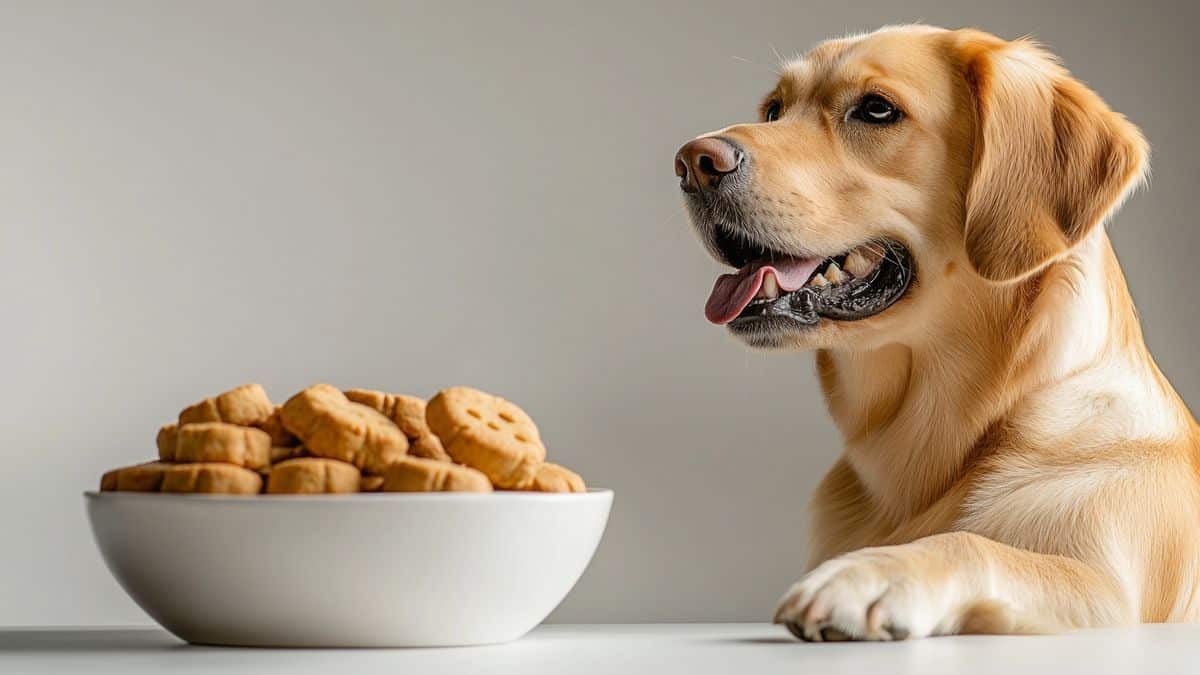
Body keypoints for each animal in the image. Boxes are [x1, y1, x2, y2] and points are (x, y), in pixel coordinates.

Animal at [681, 23, 1195, 638]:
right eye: (774, 109)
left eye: (877, 109)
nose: (692, 162)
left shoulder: (1112, 594)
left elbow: (971, 543)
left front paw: (864, 576)